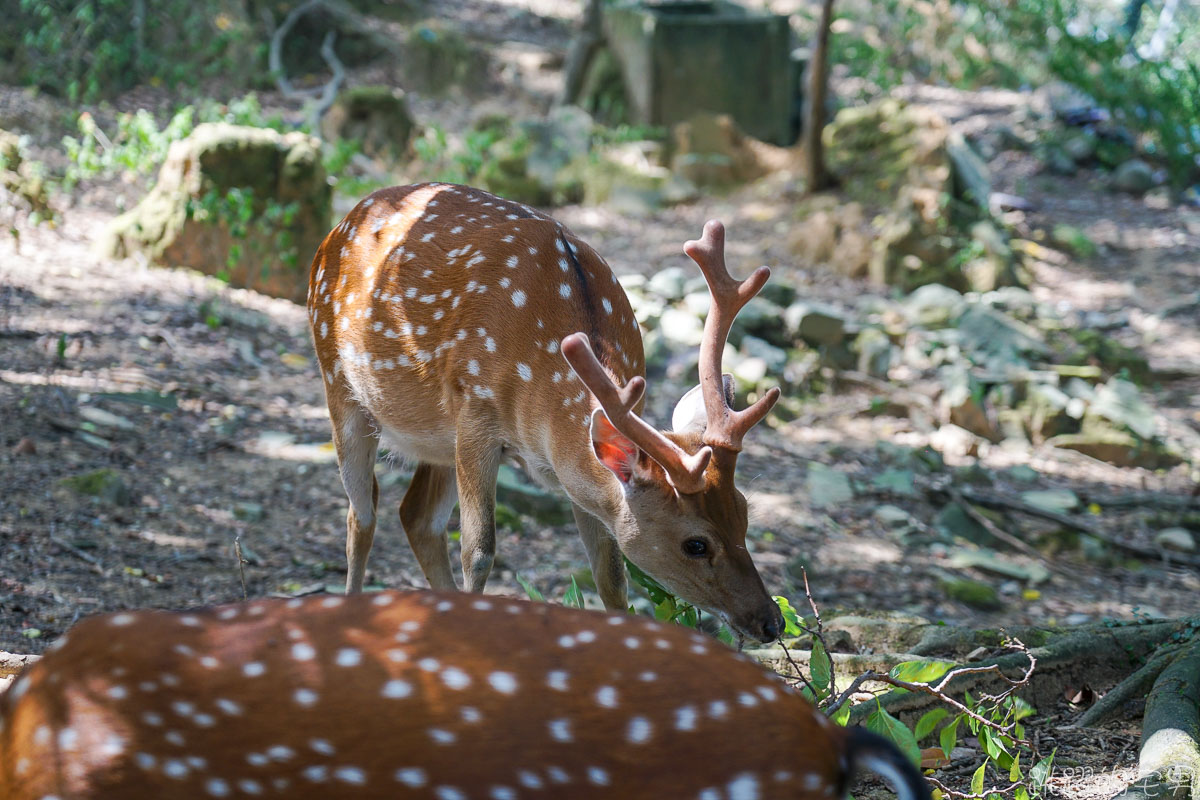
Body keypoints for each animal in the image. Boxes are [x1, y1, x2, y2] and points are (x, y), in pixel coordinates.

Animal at [304, 184, 782, 642]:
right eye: (695, 544)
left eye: (744, 512)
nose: (771, 622)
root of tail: (339, 226)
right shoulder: (475, 408)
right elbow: (479, 551)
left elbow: (611, 576)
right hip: (339, 383)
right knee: (362, 515)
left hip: (437, 441)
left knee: (416, 516)